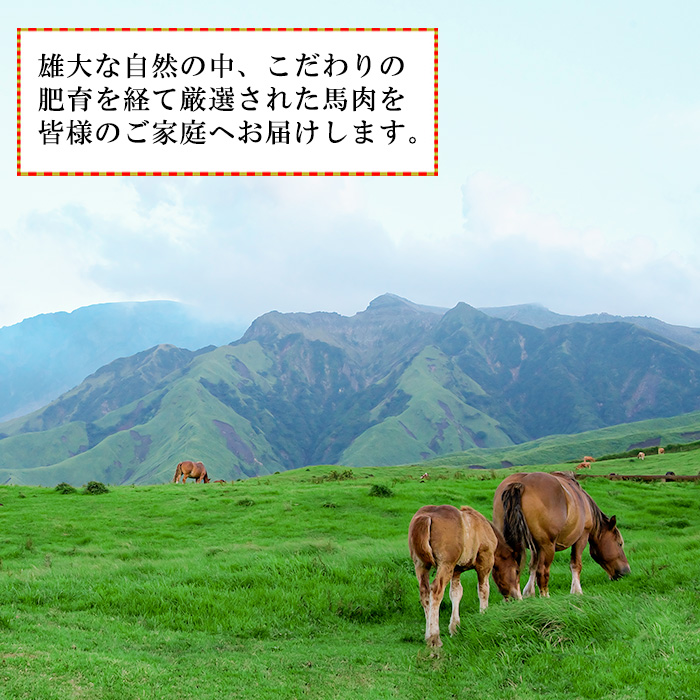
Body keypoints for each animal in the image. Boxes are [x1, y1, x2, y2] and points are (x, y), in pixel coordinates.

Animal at [408, 504, 522, 647]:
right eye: (517, 571)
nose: (518, 598)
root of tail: (426, 517)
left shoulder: (456, 570)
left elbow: (456, 593)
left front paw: (455, 628)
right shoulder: (485, 561)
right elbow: (483, 590)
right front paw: (484, 615)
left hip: (421, 565)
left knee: (424, 593)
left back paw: (429, 635)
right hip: (445, 565)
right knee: (436, 591)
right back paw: (434, 637)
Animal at [493, 472, 630, 598]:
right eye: (619, 544)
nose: (626, 571)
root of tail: (520, 484)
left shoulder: (534, 546)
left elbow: (532, 566)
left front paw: (528, 593)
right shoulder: (581, 538)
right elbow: (576, 565)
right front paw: (576, 591)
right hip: (548, 546)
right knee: (543, 571)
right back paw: (545, 596)